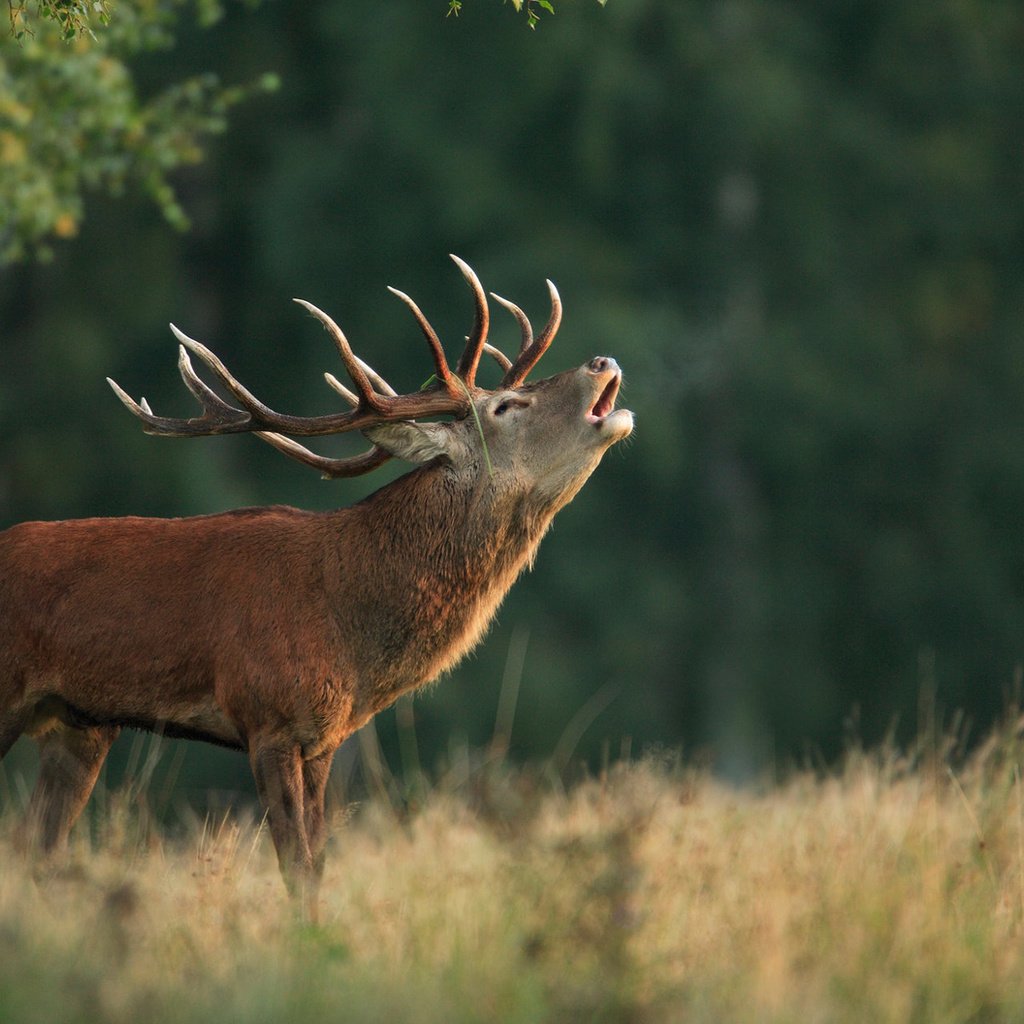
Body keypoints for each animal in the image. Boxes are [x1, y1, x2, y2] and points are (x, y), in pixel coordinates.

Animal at [0, 258, 630, 921]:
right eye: (507, 405)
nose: (602, 361)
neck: (348, 622)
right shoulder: (267, 715)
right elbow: (296, 868)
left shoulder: (322, 738)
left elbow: (319, 866)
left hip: (78, 724)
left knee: (37, 848)